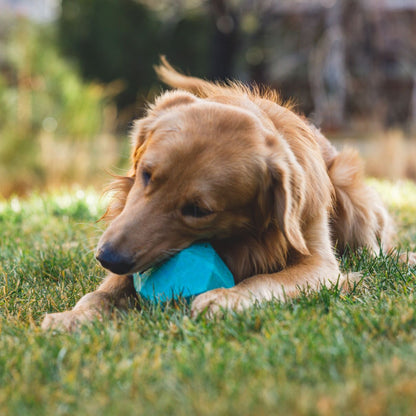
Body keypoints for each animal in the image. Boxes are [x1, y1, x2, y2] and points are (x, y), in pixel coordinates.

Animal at [42, 59, 416, 332]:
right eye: (147, 175)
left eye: (197, 210)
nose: (108, 257)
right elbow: (100, 294)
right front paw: (74, 316)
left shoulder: (319, 264)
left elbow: (266, 281)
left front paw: (225, 298)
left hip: (355, 203)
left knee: (375, 251)